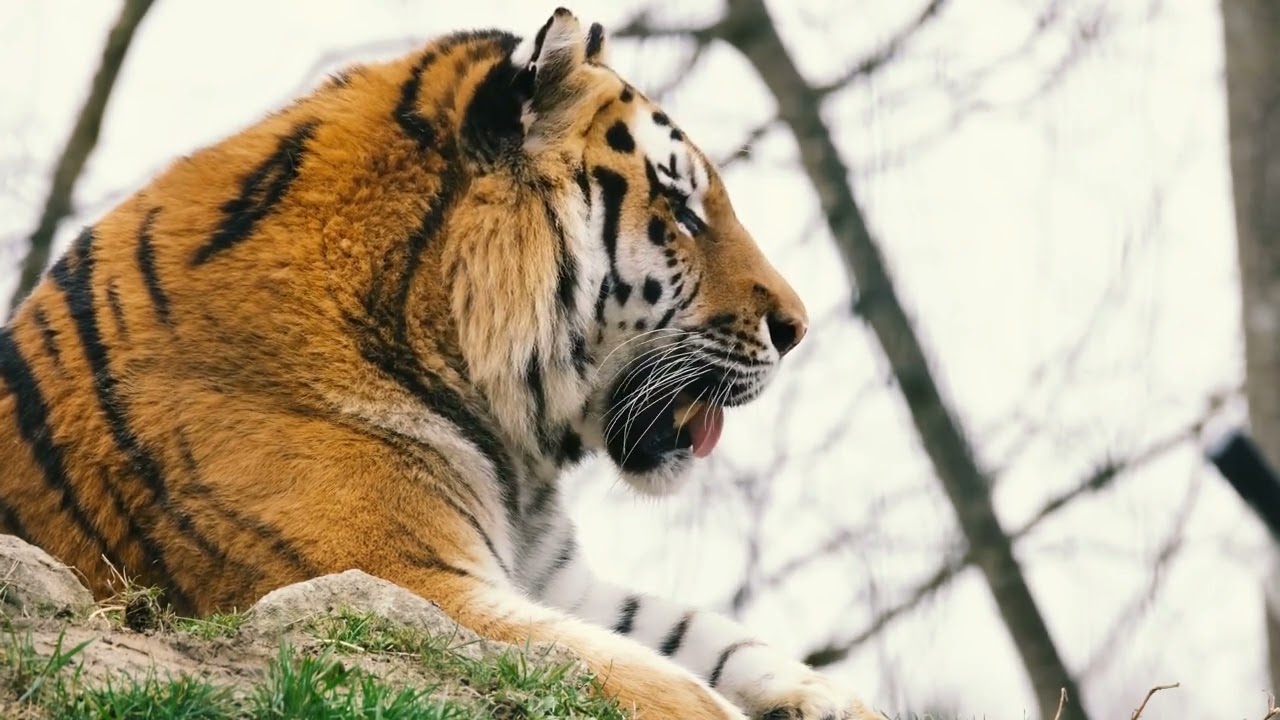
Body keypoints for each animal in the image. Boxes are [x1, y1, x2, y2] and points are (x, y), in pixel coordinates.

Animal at [0, 9, 879, 720]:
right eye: (684, 211)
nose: (797, 329)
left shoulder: (556, 580)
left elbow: (715, 638)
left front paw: (836, 698)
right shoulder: (401, 578)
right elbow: (661, 680)